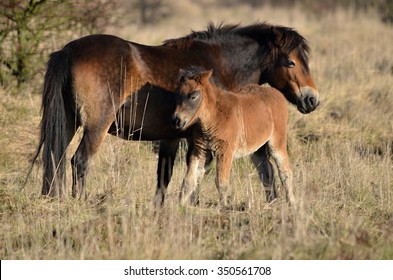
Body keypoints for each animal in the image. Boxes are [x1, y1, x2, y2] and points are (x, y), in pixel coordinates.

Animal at [173, 67, 292, 206]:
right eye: (177, 94)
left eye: (193, 96)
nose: (177, 120)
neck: (214, 116)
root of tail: (278, 94)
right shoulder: (200, 150)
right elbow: (189, 181)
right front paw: (179, 206)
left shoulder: (225, 151)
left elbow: (221, 182)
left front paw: (224, 207)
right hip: (257, 150)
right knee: (267, 172)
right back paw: (271, 202)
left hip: (277, 144)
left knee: (285, 172)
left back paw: (292, 203)